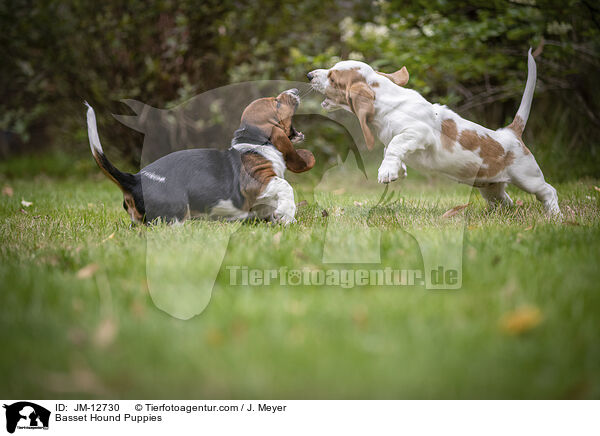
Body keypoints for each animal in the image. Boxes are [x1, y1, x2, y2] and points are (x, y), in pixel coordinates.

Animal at [87, 88, 318, 225]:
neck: (255, 142)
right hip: (177, 209)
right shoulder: (259, 181)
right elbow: (285, 186)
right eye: (277, 103)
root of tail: (134, 179)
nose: (295, 90)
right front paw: (287, 214)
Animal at [310, 49, 564, 216]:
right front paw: (398, 169)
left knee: (549, 191)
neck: (387, 102)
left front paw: (387, 172)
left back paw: (555, 217)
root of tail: (511, 133)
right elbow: (390, 147)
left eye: (332, 77)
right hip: (491, 189)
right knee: (506, 202)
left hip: (527, 177)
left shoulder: (418, 133)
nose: (309, 75)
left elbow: (394, 145)